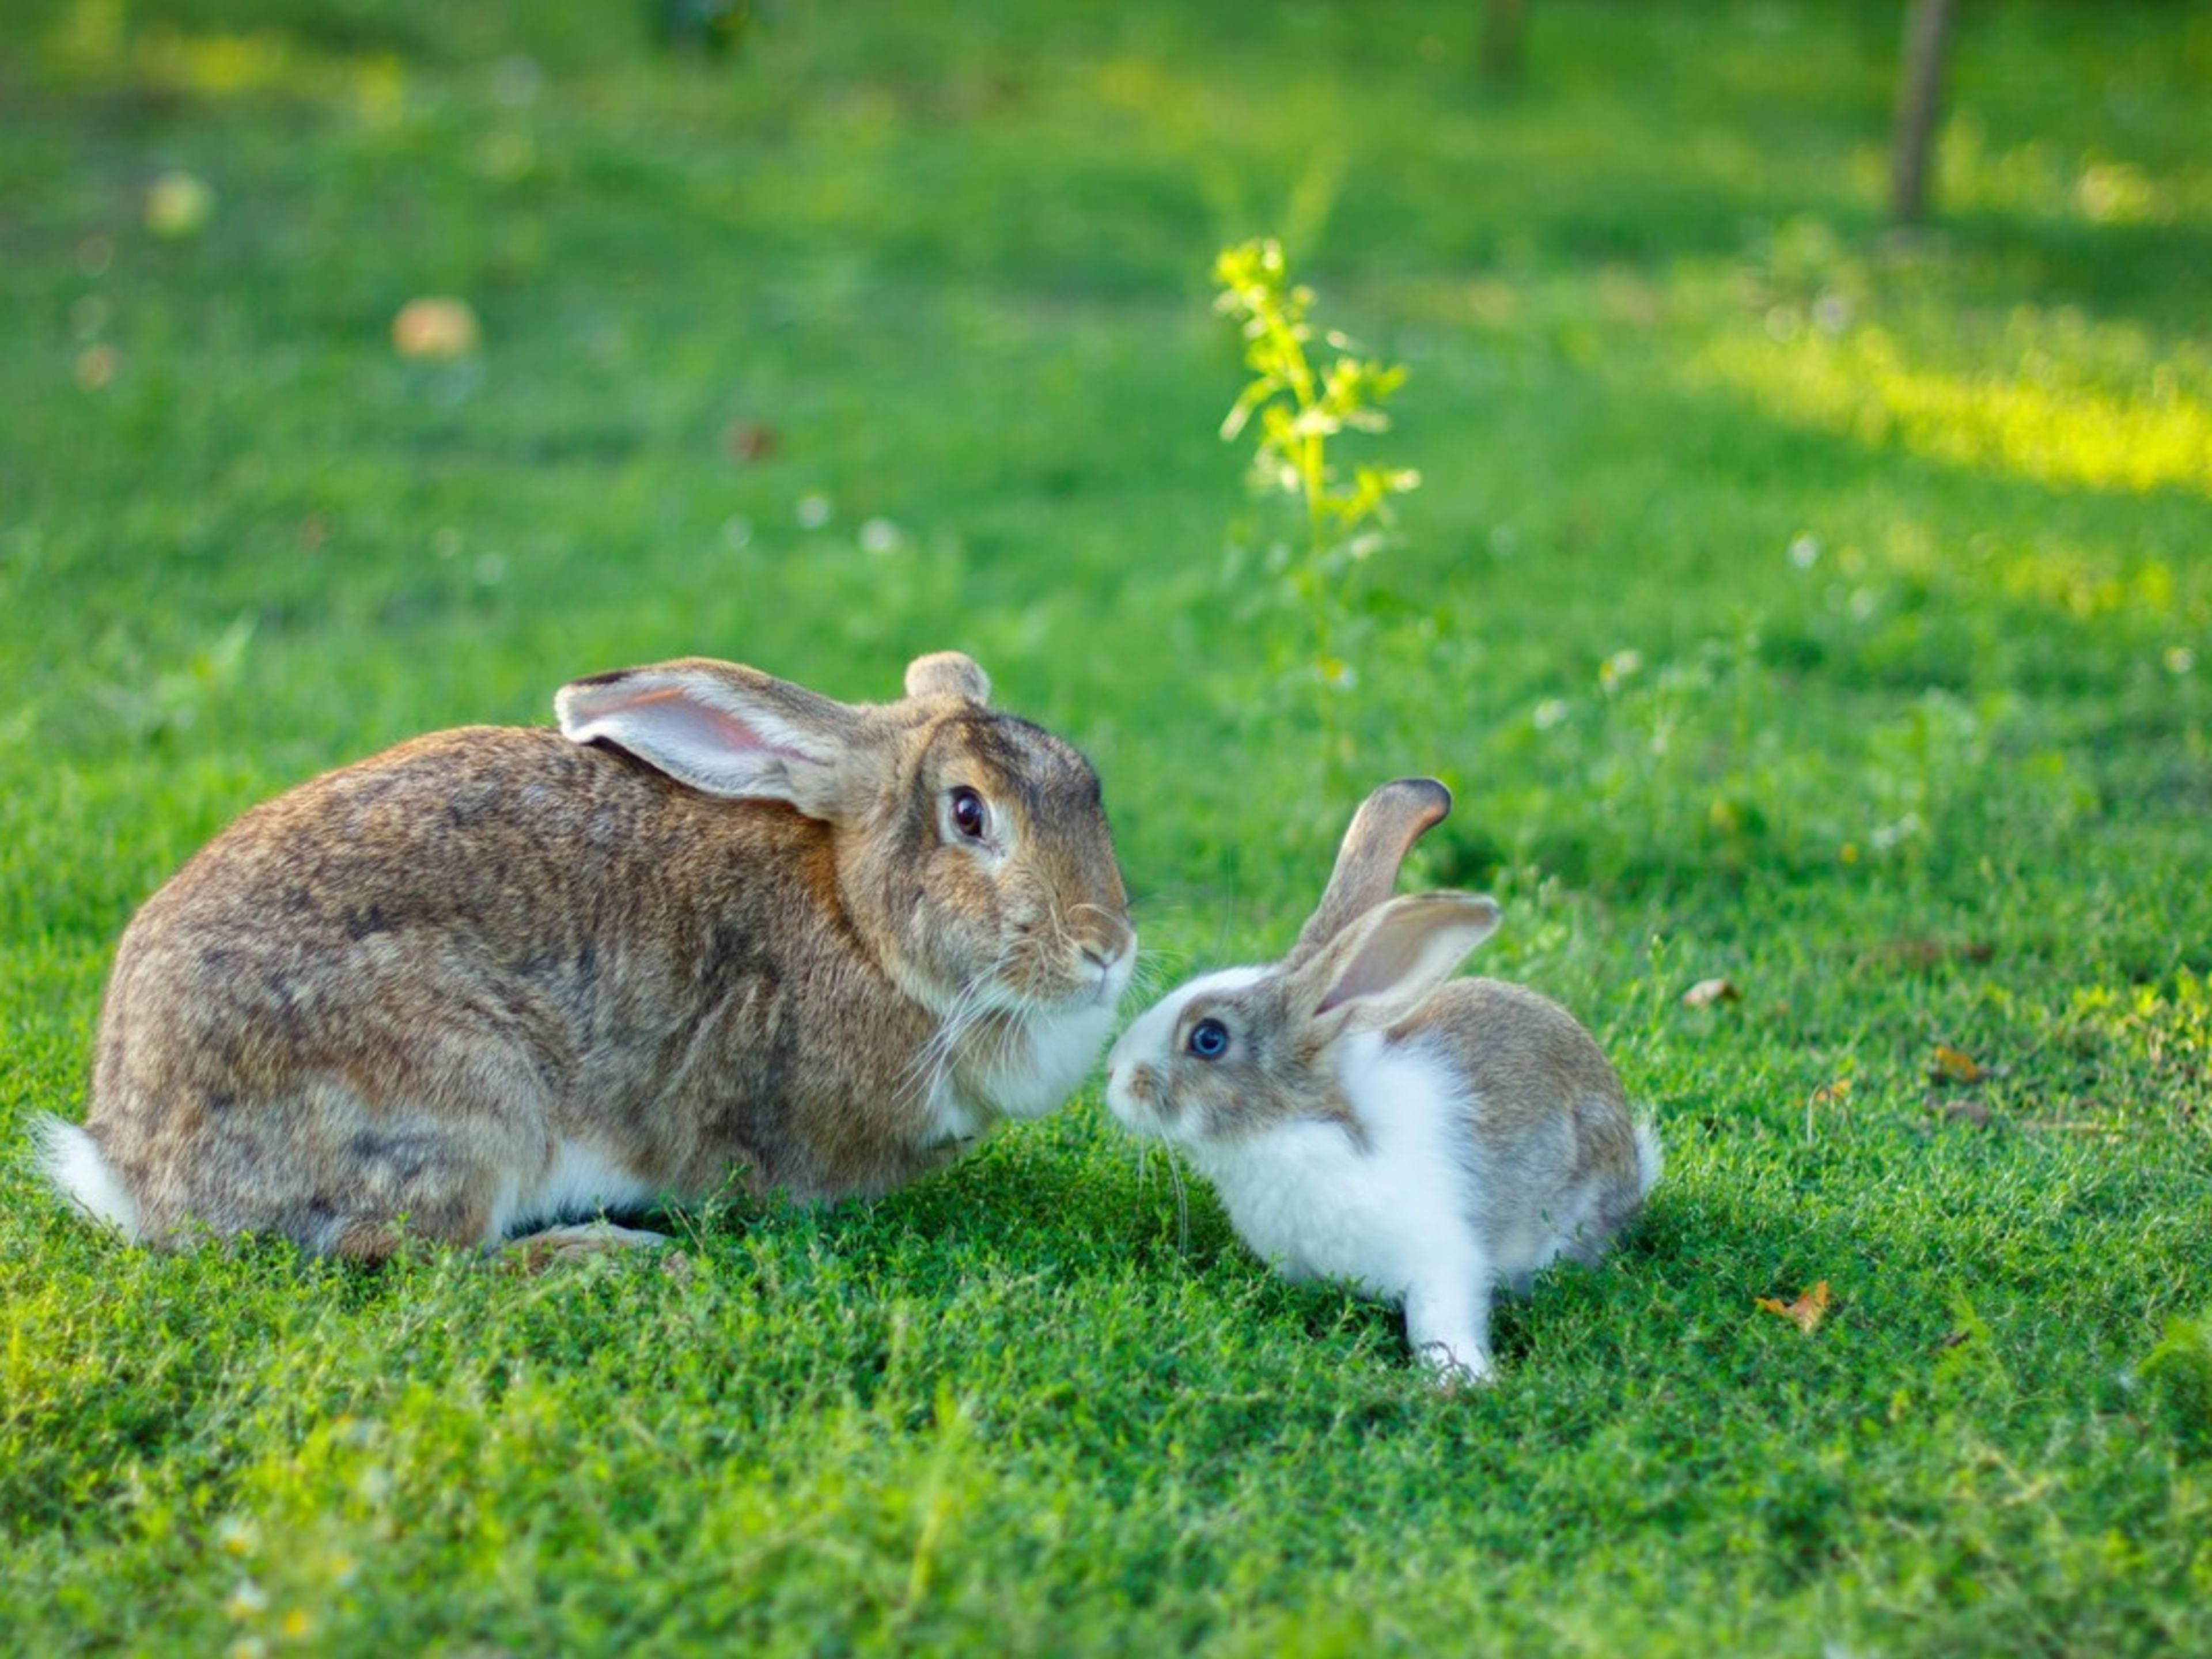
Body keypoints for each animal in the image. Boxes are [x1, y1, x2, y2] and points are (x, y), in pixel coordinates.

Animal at [35, 650, 1136, 1260]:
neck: (862, 928)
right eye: (968, 815)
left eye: (1091, 786)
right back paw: (608, 1255)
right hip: (469, 1097)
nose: (1110, 951)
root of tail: (138, 1167)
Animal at [1105, 778, 1657, 1384]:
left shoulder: (1443, 1262)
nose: (1114, 1074)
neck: (1299, 1126)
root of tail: (1636, 1161)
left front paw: (1461, 1381)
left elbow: (1440, 1321)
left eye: (1208, 1039)